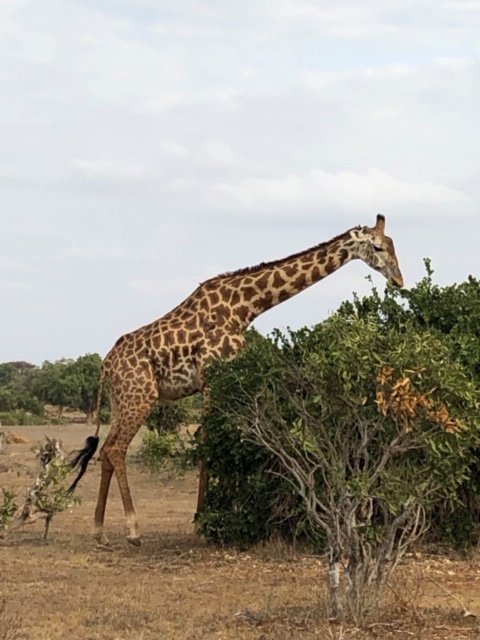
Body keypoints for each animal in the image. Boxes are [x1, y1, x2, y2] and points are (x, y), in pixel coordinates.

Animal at [68, 214, 404, 544]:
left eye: (392, 244)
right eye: (377, 247)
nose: (399, 280)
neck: (245, 307)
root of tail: (105, 366)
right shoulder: (212, 376)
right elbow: (209, 443)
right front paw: (202, 520)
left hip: (122, 400)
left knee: (106, 451)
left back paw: (99, 531)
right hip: (141, 396)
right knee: (116, 449)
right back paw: (133, 530)